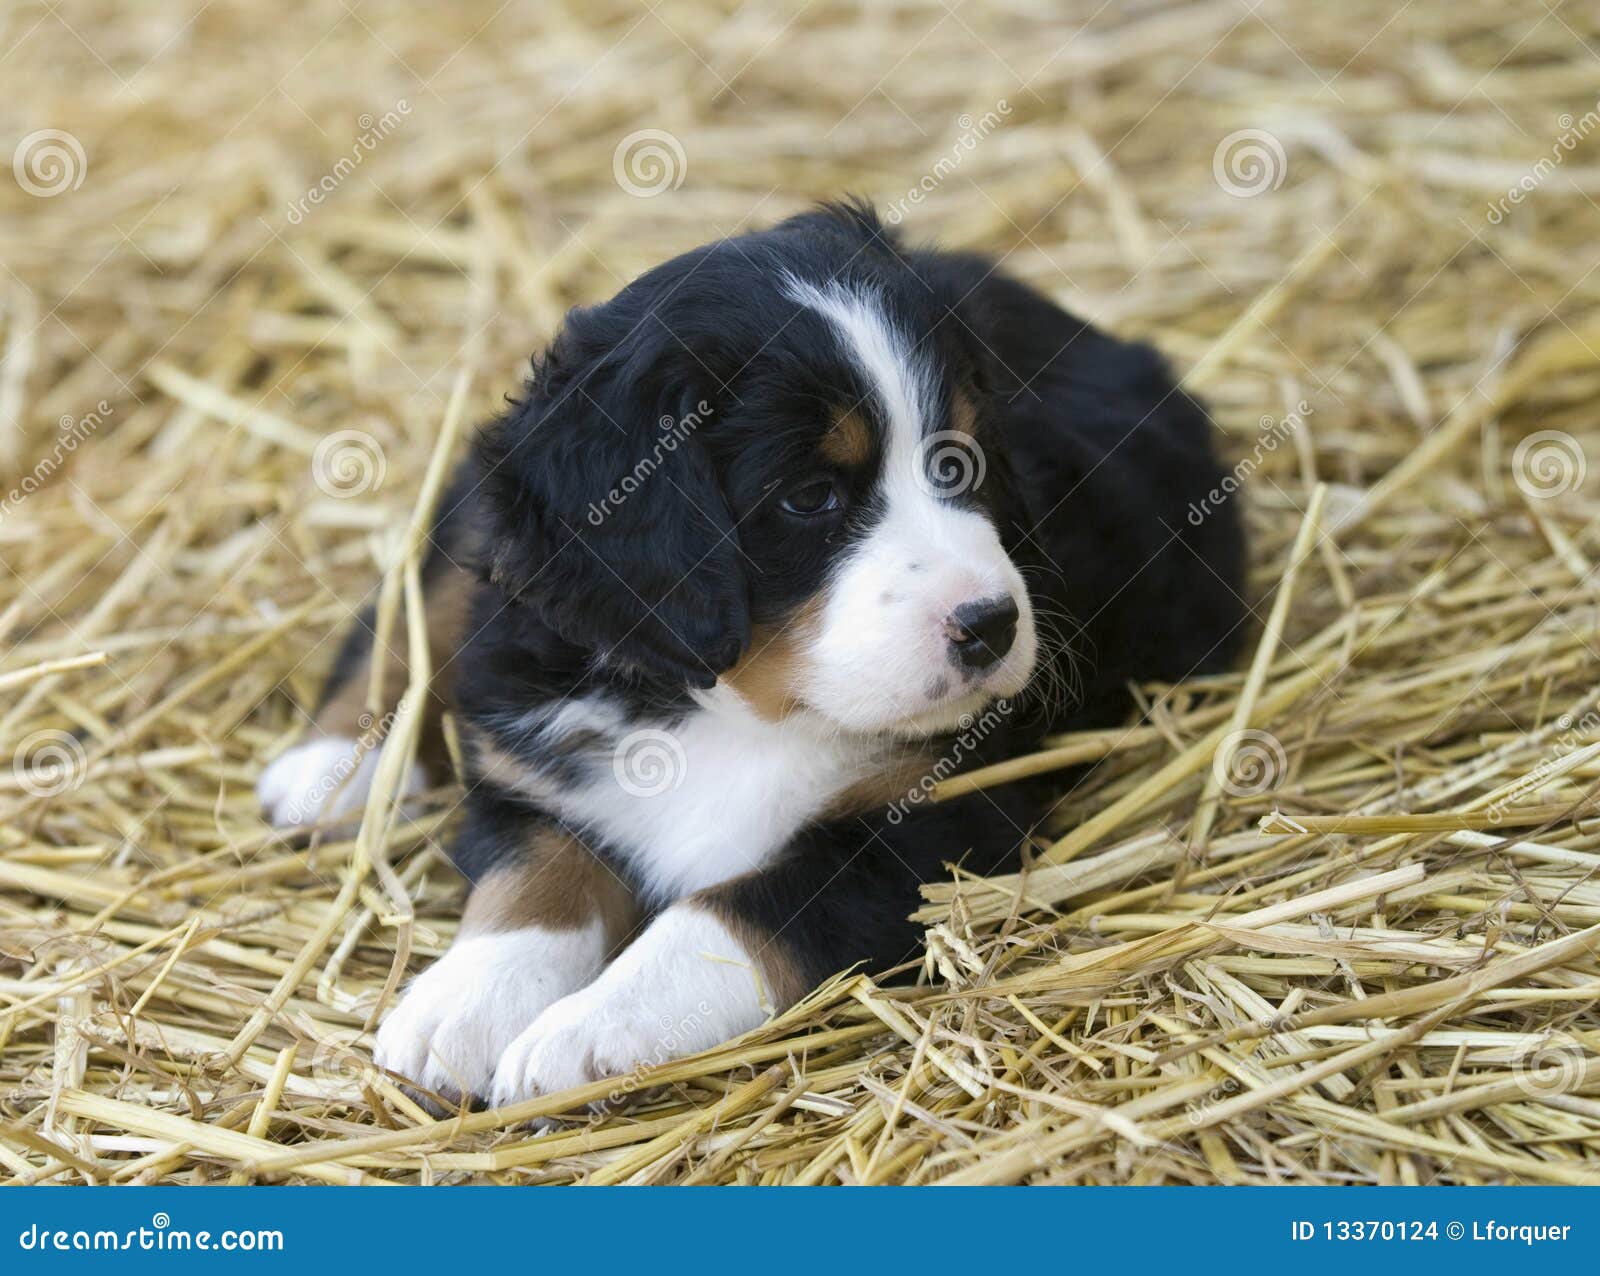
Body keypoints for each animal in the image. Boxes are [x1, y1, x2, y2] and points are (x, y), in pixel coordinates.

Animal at [256, 199, 1241, 1106]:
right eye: (809, 497)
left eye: (962, 463)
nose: (991, 625)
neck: (735, 706)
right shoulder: (534, 757)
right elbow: (534, 875)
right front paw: (465, 1001)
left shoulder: (930, 824)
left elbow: (723, 914)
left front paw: (584, 1029)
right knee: (413, 605)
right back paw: (331, 769)